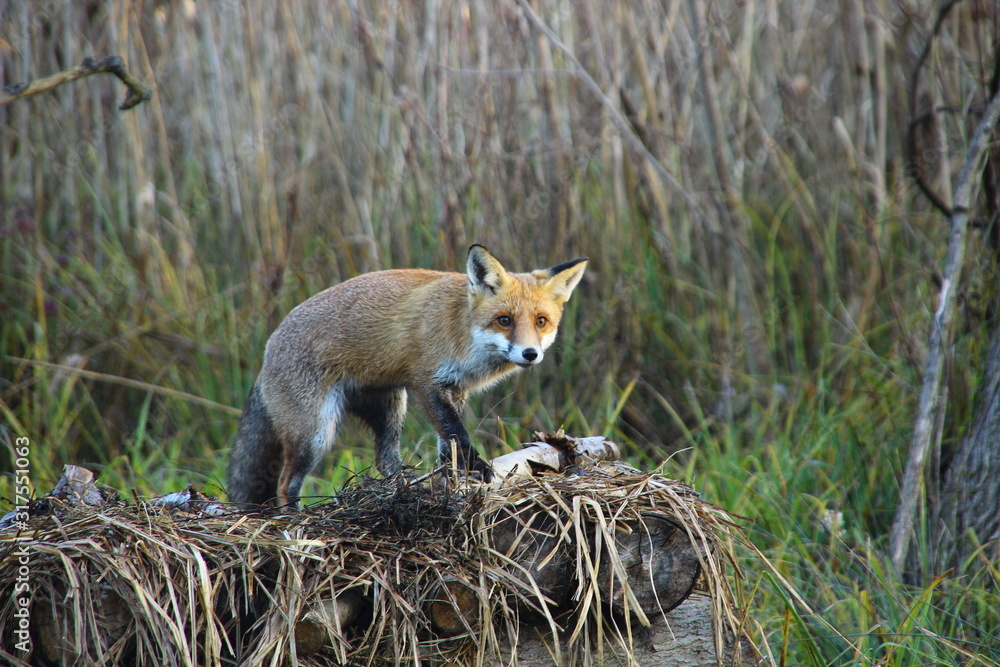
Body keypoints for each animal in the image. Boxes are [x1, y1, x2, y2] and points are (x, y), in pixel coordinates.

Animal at [227, 244, 588, 506]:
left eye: (541, 321)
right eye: (504, 320)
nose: (530, 354)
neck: (461, 331)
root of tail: (268, 351)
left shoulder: (455, 390)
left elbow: (447, 445)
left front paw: (450, 485)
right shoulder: (426, 382)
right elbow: (458, 435)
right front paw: (479, 470)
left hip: (390, 409)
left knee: (385, 461)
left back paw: (401, 492)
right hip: (315, 434)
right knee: (285, 483)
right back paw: (294, 525)